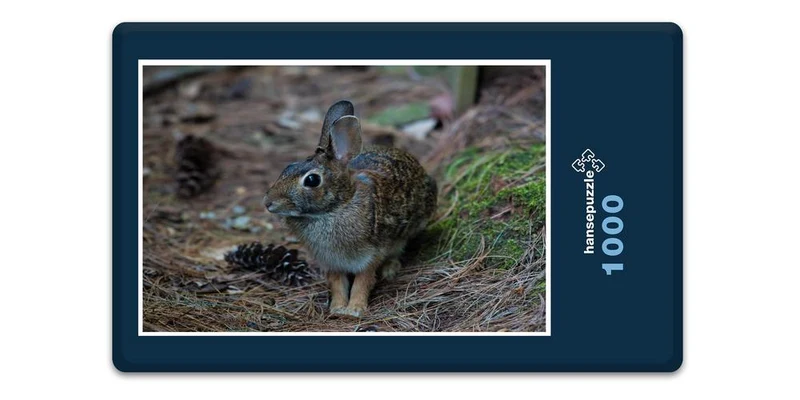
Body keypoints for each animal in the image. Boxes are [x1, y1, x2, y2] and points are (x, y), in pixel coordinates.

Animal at [263, 100, 437, 318]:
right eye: (288, 167)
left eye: (312, 180)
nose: (268, 202)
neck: (335, 208)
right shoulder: (332, 262)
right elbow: (338, 284)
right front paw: (338, 308)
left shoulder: (370, 255)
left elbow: (362, 282)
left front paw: (355, 309)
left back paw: (390, 269)